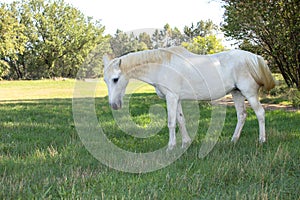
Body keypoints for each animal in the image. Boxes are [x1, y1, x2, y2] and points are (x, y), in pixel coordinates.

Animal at [102, 46, 274, 150]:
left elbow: (171, 122)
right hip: (236, 93)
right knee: (242, 115)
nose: (114, 105)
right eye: (105, 80)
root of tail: (254, 57)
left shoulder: (171, 97)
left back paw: (262, 140)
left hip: (248, 93)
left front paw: (170, 147)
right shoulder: (176, 99)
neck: (161, 66)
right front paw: (185, 143)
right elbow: (180, 120)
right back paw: (233, 140)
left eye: (115, 79)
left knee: (260, 113)